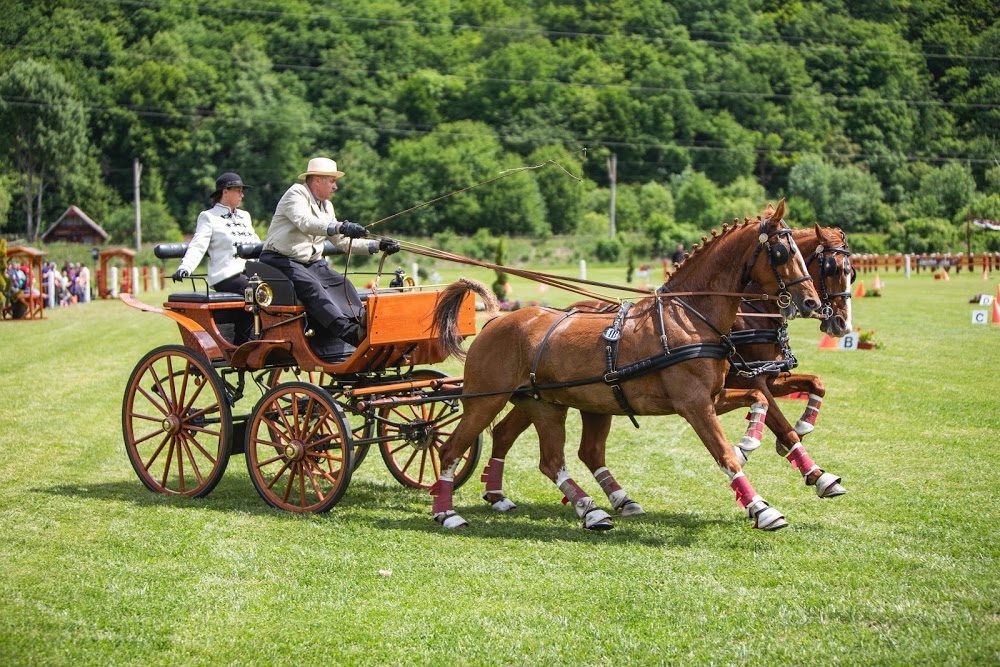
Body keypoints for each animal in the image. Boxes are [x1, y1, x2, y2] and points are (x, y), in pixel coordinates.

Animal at [430, 202, 820, 532]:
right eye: (783, 252)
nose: (812, 303)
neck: (689, 318)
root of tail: (497, 318)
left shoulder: (714, 395)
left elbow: (759, 398)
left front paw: (750, 442)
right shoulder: (694, 405)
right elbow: (725, 454)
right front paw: (761, 507)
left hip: (546, 404)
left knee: (551, 459)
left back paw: (591, 509)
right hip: (485, 400)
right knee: (451, 450)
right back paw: (447, 512)